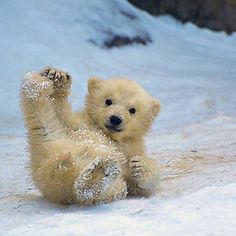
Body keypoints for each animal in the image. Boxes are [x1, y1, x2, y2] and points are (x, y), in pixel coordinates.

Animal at [20, 67, 160, 205]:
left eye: (132, 110)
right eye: (108, 101)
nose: (115, 119)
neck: (108, 134)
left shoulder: (131, 148)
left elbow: (140, 186)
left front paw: (139, 165)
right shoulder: (80, 124)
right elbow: (63, 115)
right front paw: (58, 77)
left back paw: (99, 174)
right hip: (53, 139)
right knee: (42, 118)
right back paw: (36, 83)